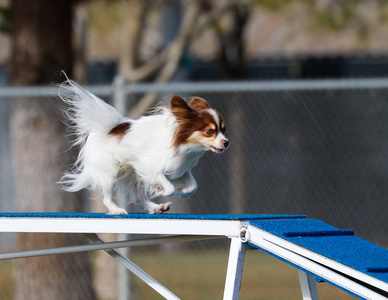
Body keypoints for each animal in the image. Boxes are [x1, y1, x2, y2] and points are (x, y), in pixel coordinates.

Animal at [59, 80, 229, 213]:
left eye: (223, 130)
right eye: (209, 131)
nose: (226, 142)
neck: (185, 147)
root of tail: (107, 129)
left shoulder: (181, 170)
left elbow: (192, 187)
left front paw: (180, 192)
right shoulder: (151, 168)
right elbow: (170, 187)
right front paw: (160, 189)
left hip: (132, 174)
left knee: (138, 197)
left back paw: (157, 207)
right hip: (109, 172)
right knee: (108, 198)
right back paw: (117, 210)